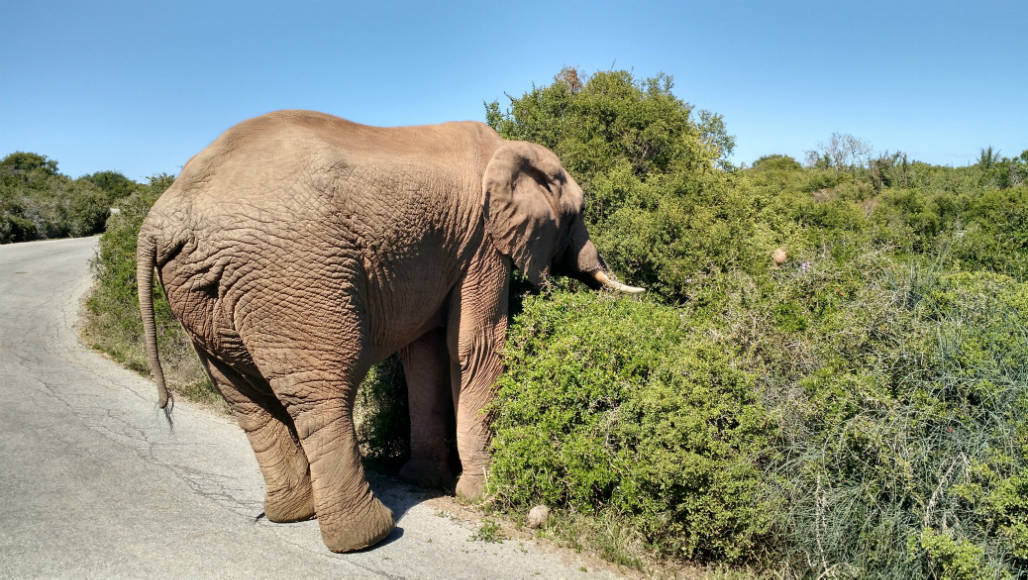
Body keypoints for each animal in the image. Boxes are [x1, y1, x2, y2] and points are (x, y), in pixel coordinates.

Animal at [132, 110, 637, 551]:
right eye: (578, 212)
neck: (508, 149)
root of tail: (161, 219)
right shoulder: (481, 241)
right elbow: (476, 346)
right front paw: (482, 496)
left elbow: (426, 356)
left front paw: (423, 481)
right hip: (293, 272)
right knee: (323, 390)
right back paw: (366, 537)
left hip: (200, 294)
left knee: (243, 398)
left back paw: (292, 514)